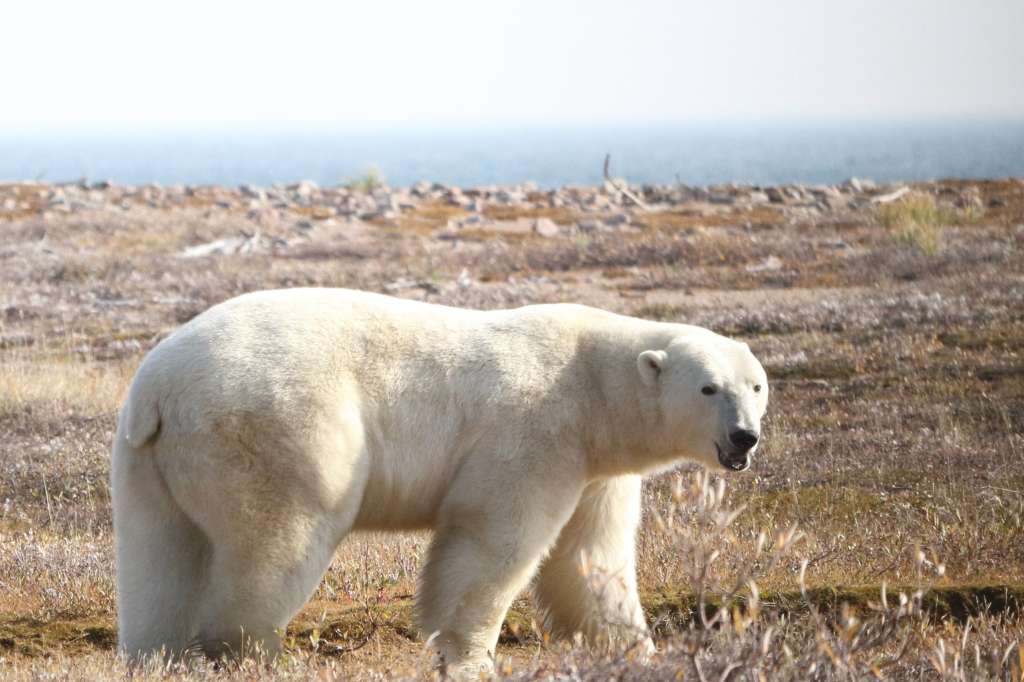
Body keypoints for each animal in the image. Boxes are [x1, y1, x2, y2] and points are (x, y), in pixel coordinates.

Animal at [112, 287, 768, 675]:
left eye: (756, 385)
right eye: (708, 387)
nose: (744, 437)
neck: (592, 383)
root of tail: (160, 388)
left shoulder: (597, 467)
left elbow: (590, 558)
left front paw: (638, 650)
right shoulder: (535, 431)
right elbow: (494, 541)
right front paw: (470, 657)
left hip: (148, 461)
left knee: (159, 558)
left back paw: (156, 655)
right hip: (277, 428)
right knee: (277, 539)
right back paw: (255, 653)